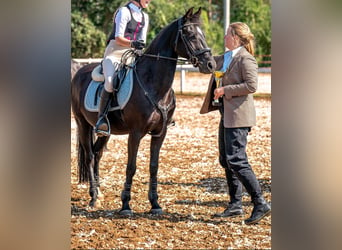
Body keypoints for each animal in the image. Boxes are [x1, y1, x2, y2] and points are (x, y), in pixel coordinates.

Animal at [71, 7, 216, 215]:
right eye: (190, 34)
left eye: (202, 33)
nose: (211, 64)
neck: (153, 84)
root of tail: (79, 72)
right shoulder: (136, 132)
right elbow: (131, 166)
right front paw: (125, 205)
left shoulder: (160, 133)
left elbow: (153, 166)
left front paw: (155, 203)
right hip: (82, 123)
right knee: (90, 156)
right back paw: (93, 197)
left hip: (106, 131)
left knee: (97, 153)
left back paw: (99, 192)